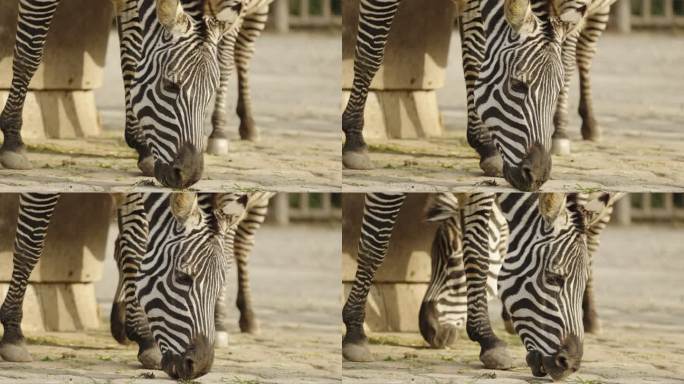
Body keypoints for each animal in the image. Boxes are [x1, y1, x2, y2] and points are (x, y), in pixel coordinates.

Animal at [0, 0, 272, 189]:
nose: (189, 177)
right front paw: (13, 141)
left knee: (242, 51)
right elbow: (29, 55)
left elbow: (132, 59)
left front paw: (141, 144)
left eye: (209, 94)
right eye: (170, 85)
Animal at [0, 192, 272, 378]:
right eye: (182, 277)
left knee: (241, 243)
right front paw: (13, 333)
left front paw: (142, 335)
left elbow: (135, 245)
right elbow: (30, 245)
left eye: (218, 286)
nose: (200, 367)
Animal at [344, 192, 616, 380]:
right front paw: (355, 333)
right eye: (553, 278)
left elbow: (478, 252)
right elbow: (374, 245)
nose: (570, 364)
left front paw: (487, 339)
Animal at [348, 0, 616, 191]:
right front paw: (354, 141)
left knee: (582, 52)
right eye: (517, 84)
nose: (538, 177)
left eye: (557, 91)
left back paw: (588, 125)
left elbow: (475, 60)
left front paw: (484, 145)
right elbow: (370, 55)